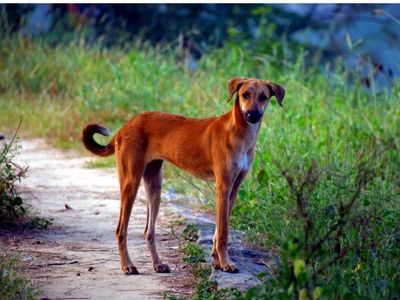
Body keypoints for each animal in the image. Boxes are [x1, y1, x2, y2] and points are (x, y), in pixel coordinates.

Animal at [83, 77, 286, 274]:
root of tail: (124, 128)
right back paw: (128, 266)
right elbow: (222, 234)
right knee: (120, 230)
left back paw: (158, 264)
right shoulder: (222, 187)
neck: (239, 132)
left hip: (154, 186)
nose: (252, 115)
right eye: (245, 95)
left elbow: (218, 231)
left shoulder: (233, 191)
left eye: (263, 97)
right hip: (130, 183)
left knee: (149, 231)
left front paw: (217, 262)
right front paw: (226, 263)